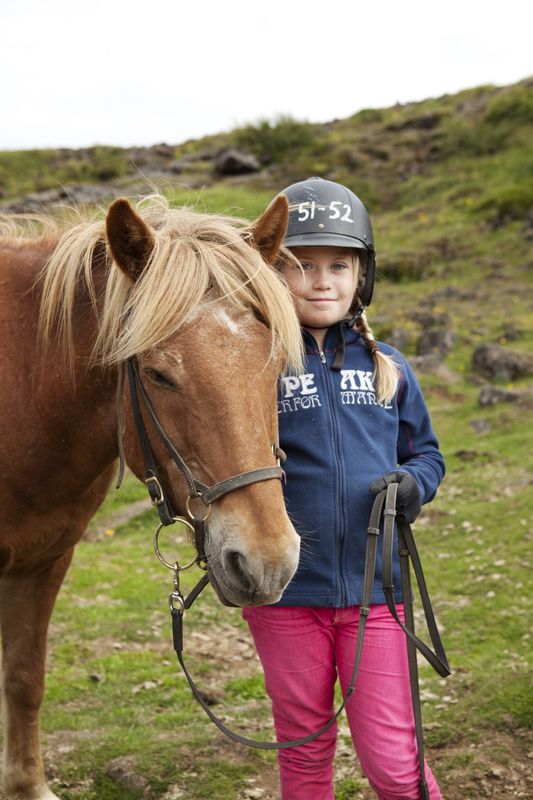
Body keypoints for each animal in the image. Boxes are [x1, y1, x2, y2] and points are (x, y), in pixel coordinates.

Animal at [0, 193, 303, 800]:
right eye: (159, 375)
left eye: (278, 365)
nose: (268, 562)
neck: (19, 386)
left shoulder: (44, 559)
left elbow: (24, 678)